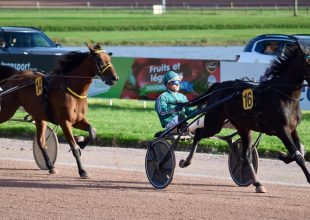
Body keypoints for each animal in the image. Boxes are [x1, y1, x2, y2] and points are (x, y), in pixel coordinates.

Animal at [0, 42, 118, 177]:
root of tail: (14, 76)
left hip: (39, 116)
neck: (70, 88)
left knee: (41, 141)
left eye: (109, 59)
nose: (115, 78)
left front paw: (81, 141)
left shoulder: (78, 120)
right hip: (7, 109)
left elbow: (92, 131)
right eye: (99, 60)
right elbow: (74, 148)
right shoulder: (64, 121)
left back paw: (51, 166)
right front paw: (82, 170)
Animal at [179, 42, 310, 192]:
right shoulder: (282, 130)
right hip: (214, 122)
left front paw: (283, 156)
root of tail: (219, 86)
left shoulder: (292, 129)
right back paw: (186, 162)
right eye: (308, 61)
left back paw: (257, 183)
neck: (283, 95)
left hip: (243, 127)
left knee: (246, 156)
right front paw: (307, 176)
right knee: (199, 133)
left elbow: (300, 150)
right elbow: (298, 156)